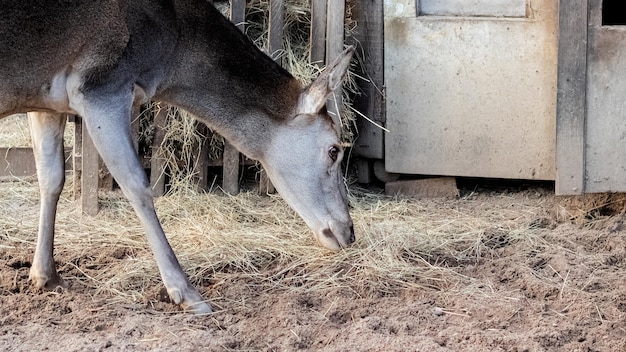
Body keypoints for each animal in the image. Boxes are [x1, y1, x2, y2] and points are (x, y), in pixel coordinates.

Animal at [0, 0, 354, 314]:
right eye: (334, 149)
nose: (348, 233)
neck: (172, 47)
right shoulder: (100, 85)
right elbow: (137, 185)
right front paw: (186, 293)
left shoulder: (46, 100)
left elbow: (51, 178)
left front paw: (45, 276)